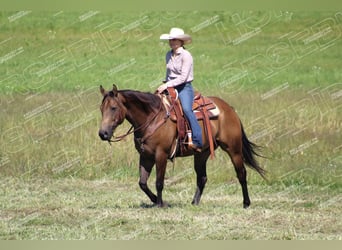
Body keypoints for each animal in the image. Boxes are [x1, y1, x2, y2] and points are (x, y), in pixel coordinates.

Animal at [97, 85, 266, 208]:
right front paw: (157, 201)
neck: (151, 118)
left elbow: (159, 182)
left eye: (113, 108)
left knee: (241, 173)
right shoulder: (145, 156)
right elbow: (142, 183)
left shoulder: (161, 155)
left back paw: (246, 203)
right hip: (201, 153)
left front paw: (160, 204)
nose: (103, 134)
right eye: (101, 109)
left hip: (234, 149)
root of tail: (229, 109)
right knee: (202, 178)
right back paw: (194, 203)